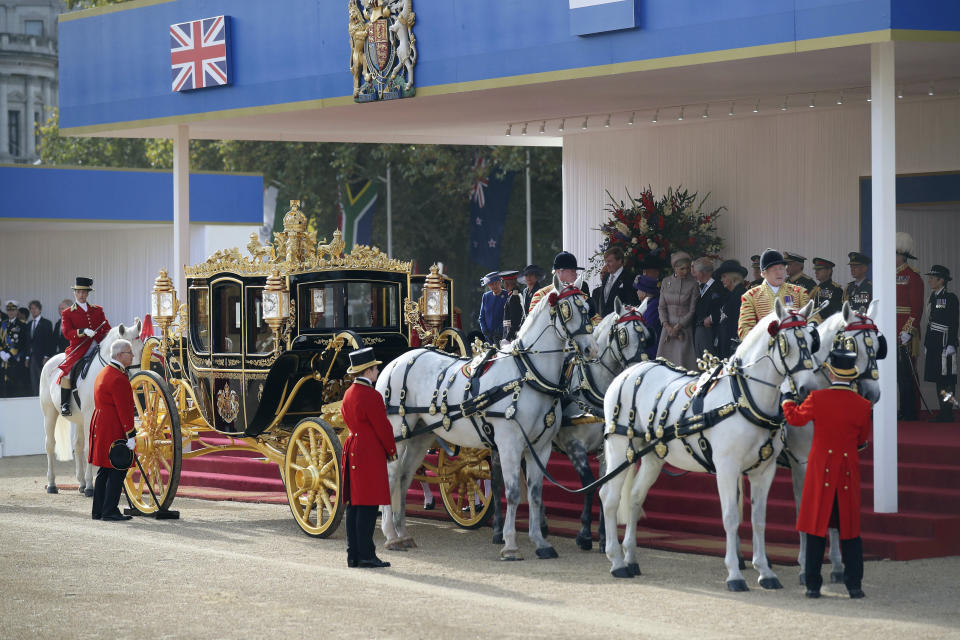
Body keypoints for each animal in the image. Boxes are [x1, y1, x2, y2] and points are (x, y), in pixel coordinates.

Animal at [38, 318, 147, 496]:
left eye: (142, 348)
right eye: (129, 352)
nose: (137, 375)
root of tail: (50, 361)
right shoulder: (91, 415)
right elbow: (91, 448)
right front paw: (91, 486)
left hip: (79, 419)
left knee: (77, 445)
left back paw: (81, 483)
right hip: (50, 413)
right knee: (50, 444)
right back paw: (53, 484)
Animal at [380, 276, 596, 560]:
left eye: (588, 308)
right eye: (568, 309)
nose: (591, 349)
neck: (527, 375)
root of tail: (396, 362)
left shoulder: (540, 447)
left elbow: (536, 495)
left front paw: (540, 542)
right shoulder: (509, 444)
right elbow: (513, 492)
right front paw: (510, 544)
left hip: (421, 436)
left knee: (404, 478)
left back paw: (402, 532)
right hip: (397, 433)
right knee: (390, 476)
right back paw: (391, 535)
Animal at [600, 300, 816, 592]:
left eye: (812, 341)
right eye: (786, 343)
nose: (808, 389)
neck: (744, 397)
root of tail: (628, 372)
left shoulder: (764, 470)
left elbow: (759, 520)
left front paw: (765, 572)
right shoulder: (727, 468)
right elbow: (730, 517)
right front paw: (734, 574)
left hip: (654, 456)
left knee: (635, 497)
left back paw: (631, 558)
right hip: (620, 447)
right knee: (609, 498)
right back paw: (616, 561)